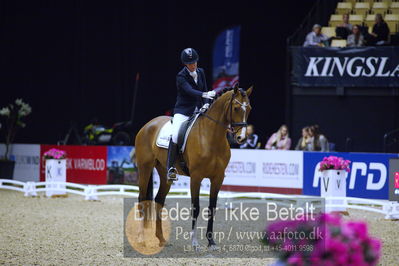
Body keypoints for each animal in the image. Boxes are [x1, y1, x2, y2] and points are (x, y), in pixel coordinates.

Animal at [134, 85, 253, 249]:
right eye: (236, 108)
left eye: (249, 109)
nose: (242, 138)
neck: (211, 137)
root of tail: (148, 125)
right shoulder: (196, 177)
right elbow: (195, 208)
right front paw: (195, 242)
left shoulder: (218, 178)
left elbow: (212, 208)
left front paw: (211, 242)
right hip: (145, 167)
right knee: (141, 199)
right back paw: (141, 239)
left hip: (164, 173)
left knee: (159, 200)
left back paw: (161, 239)